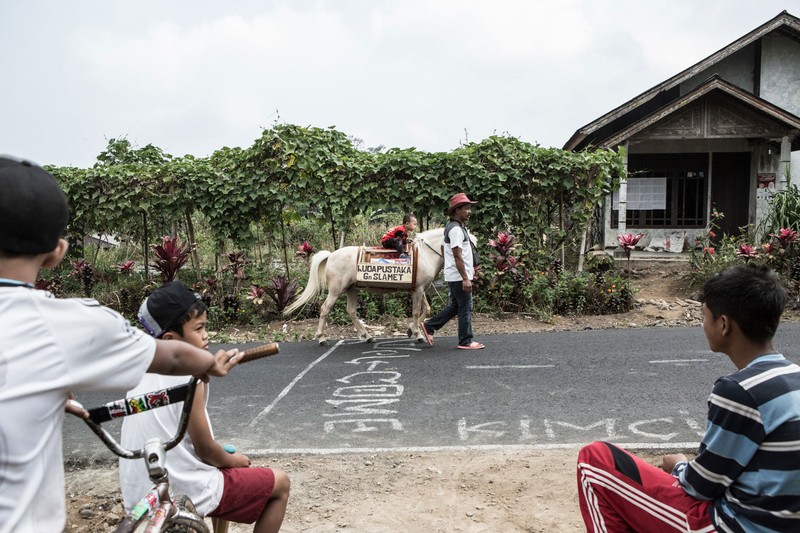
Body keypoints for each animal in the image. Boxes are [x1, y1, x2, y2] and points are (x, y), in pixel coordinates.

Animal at [284, 225, 456, 342]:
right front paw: (418, 334)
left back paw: (366, 335)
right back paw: (321, 338)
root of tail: (331, 255)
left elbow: (427, 309)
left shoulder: (419, 289)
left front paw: (411, 329)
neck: (425, 254)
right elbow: (415, 312)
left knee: (351, 311)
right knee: (325, 308)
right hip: (336, 289)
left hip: (351, 289)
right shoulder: (418, 290)